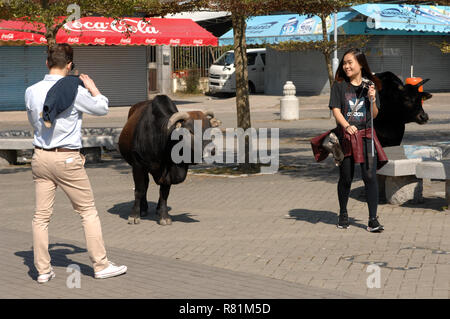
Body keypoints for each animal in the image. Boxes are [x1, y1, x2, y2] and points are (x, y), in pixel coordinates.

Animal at [118, 95, 220, 225]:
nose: (212, 151)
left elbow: (164, 193)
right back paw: (143, 208)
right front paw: (134, 215)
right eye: (190, 131)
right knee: (145, 185)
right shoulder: (138, 165)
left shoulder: (169, 173)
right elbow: (139, 190)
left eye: (209, 129)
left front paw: (164, 215)